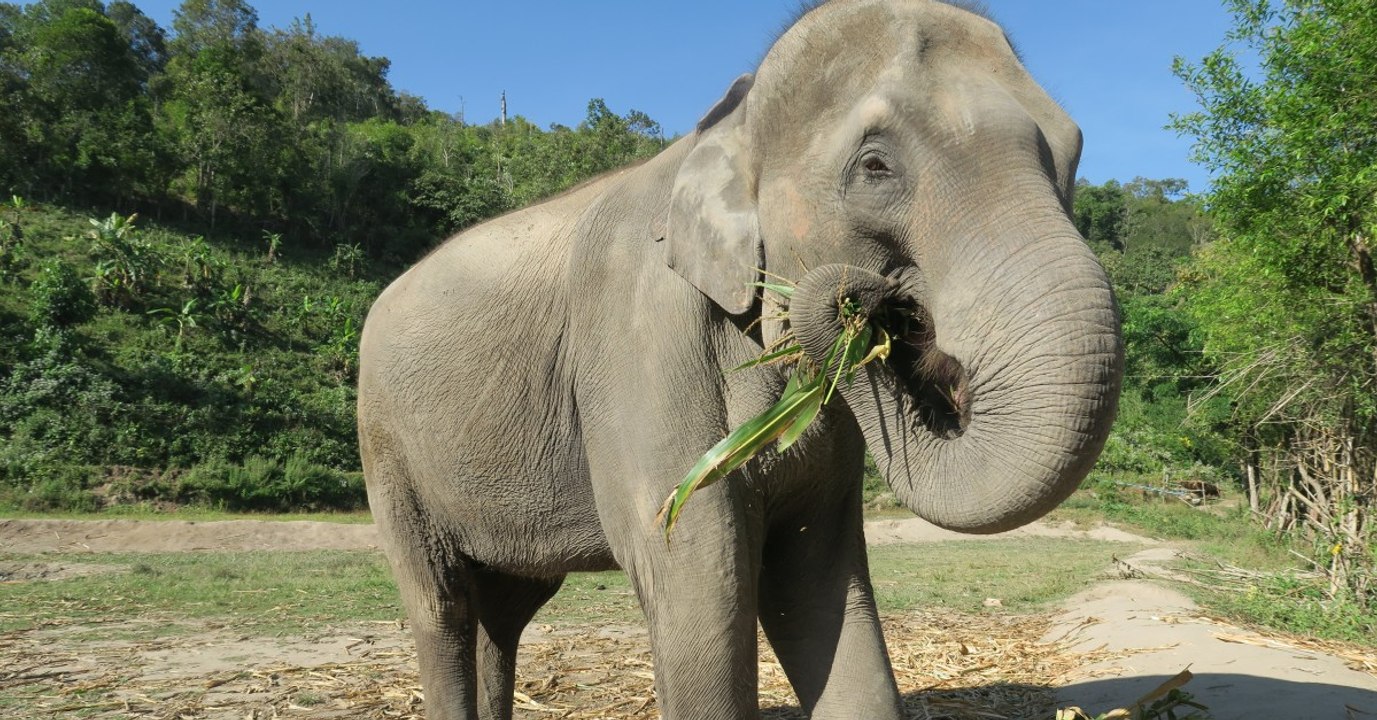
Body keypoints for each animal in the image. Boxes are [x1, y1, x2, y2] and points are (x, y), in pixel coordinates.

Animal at [356, 1, 1123, 718]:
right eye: (874, 166)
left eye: (1072, 156)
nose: (867, 309)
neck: (730, 121)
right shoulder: (640, 336)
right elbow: (695, 566)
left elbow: (814, 574)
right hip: (386, 447)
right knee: (443, 605)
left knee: (506, 607)